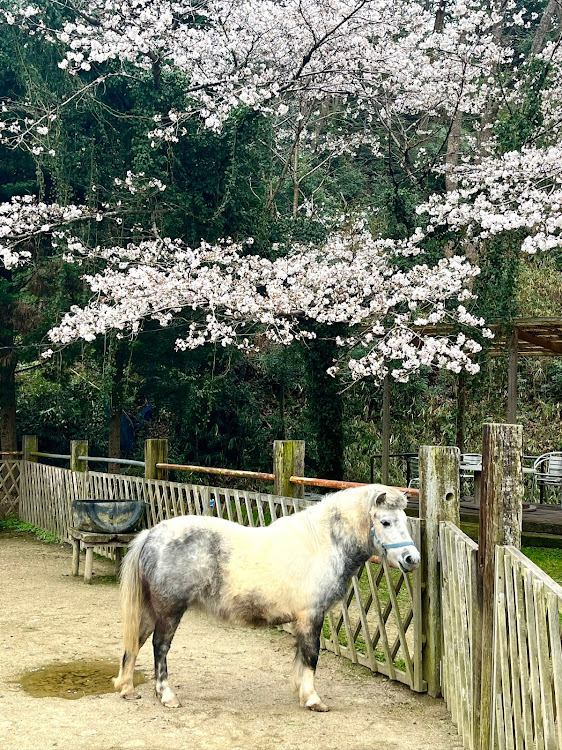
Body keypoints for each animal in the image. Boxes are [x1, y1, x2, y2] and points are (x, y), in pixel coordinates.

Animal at [114, 484, 418, 712]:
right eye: (386, 521)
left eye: (404, 521)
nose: (411, 559)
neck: (321, 543)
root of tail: (152, 534)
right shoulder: (311, 615)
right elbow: (311, 655)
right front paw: (313, 699)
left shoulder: (303, 619)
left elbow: (301, 656)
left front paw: (300, 692)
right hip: (169, 610)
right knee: (160, 647)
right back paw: (166, 696)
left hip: (151, 610)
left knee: (136, 640)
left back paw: (127, 688)